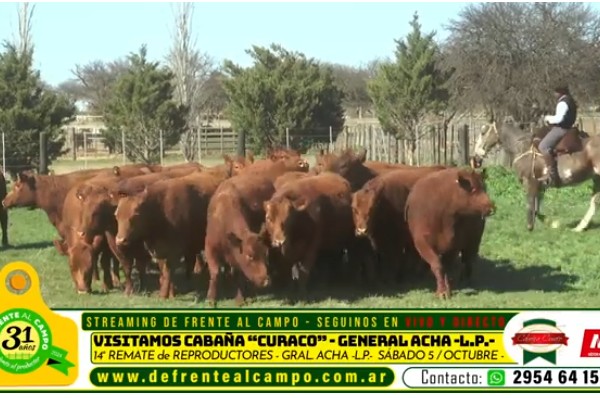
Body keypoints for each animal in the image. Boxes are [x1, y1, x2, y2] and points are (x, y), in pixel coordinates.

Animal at [406, 167, 494, 298]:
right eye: (473, 189)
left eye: (484, 187)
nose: (491, 208)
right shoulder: (423, 243)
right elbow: (437, 265)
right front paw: (442, 291)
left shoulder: (453, 246)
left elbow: (446, 268)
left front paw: (446, 289)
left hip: (474, 241)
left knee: (469, 259)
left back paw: (467, 279)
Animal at [472, 120, 600, 233]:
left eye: (483, 132)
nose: (476, 157)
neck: (522, 148)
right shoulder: (540, 186)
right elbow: (536, 209)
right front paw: (550, 223)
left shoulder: (530, 182)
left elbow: (531, 205)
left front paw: (532, 226)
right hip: (596, 179)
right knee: (594, 203)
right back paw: (579, 228)